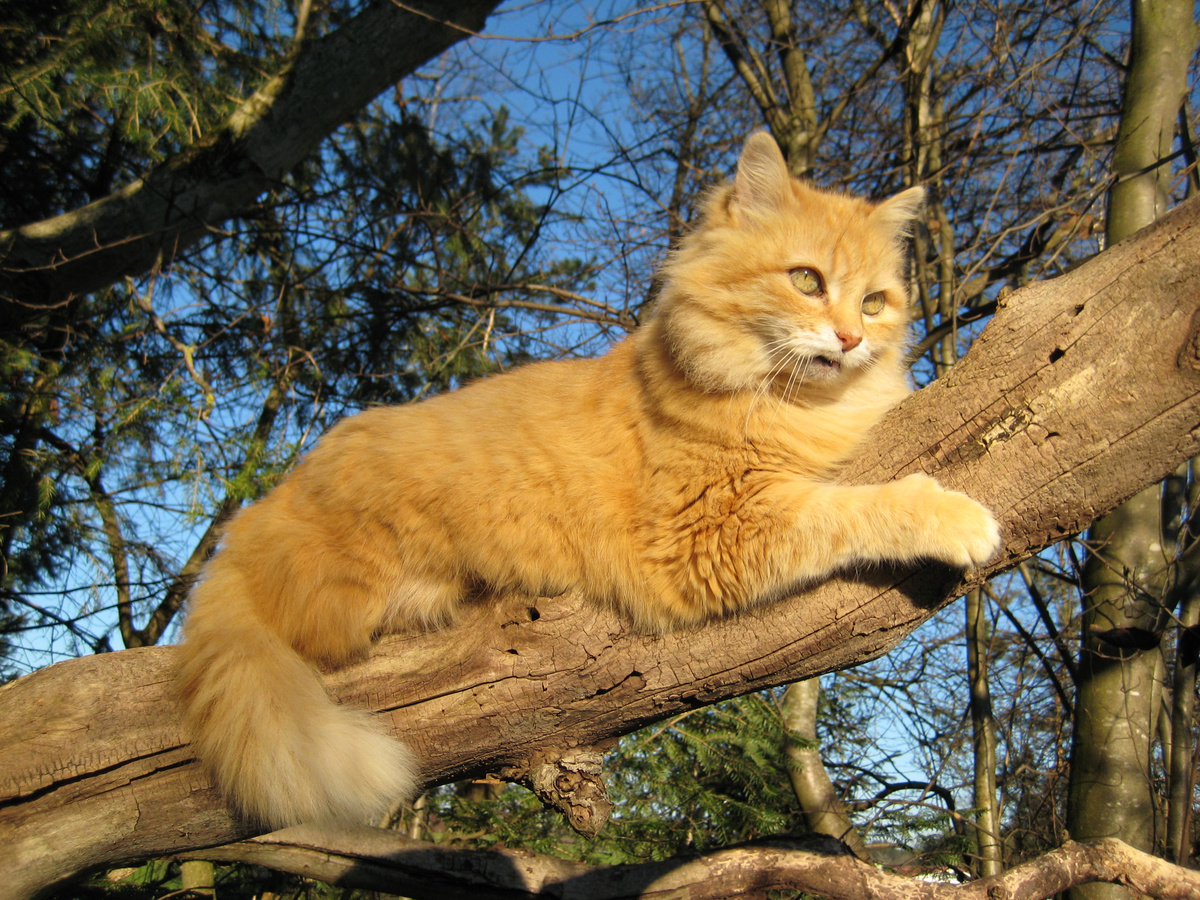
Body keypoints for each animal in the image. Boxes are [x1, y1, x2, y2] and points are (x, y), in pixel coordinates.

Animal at [175, 132, 1003, 830]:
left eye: (875, 302)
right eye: (807, 280)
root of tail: (251, 525)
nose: (852, 338)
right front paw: (959, 520)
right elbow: (860, 509)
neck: (793, 401)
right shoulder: (710, 531)